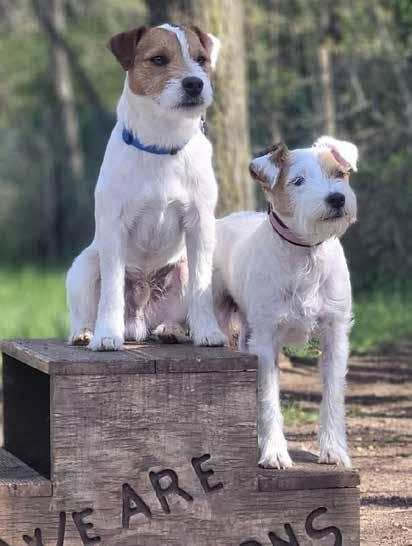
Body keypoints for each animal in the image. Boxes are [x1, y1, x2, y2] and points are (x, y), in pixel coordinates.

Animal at [66, 23, 226, 351]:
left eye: (201, 59)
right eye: (159, 59)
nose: (195, 83)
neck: (162, 144)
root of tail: (141, 320)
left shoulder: (200, 224)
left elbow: (200, 288)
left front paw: (207, 331)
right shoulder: (114, 226)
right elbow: (111, 290)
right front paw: (106, 335)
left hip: (185, 268)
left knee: (181, 308)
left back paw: (172, 329)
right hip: (84, 267)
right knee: (84, 310)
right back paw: (86, 332)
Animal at [213, 136, 358, 468]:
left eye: (339, 174)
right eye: (298, 181)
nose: (336, 199)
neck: (306, 253)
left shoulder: (335, 333)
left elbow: (333, 393)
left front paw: (333, 449)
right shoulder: (266, 341)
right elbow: (268, 397)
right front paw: (274, 452)